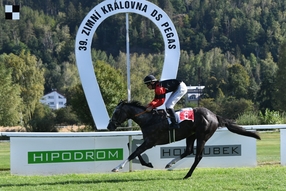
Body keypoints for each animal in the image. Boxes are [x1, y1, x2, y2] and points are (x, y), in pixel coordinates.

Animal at [106, 100, 260, 179]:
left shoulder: (150, 142)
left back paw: (187, 174)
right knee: (188, 150)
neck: (149, 119)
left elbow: (134, 152)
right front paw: (148, 163)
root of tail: (214, 115)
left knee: (198, 156)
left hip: (202, 136)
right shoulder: (148, 141)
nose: (109, 126)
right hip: (190, 135)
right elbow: (132, 148)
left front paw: (116, 168)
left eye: (116, 112)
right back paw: (170, 163)